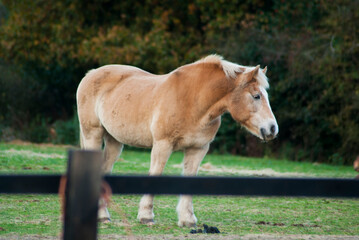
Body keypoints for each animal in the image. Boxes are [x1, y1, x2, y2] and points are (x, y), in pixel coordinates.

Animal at [75, 54, 278, 227]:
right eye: (256, 96)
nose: (272, 129)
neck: (193, 101)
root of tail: (91, 74)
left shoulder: (198, 149)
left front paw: (187, 220)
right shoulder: (162, 145)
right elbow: (156, 175)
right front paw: (146, 216)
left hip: (114, 142)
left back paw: (102, 215)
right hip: (93, 135)